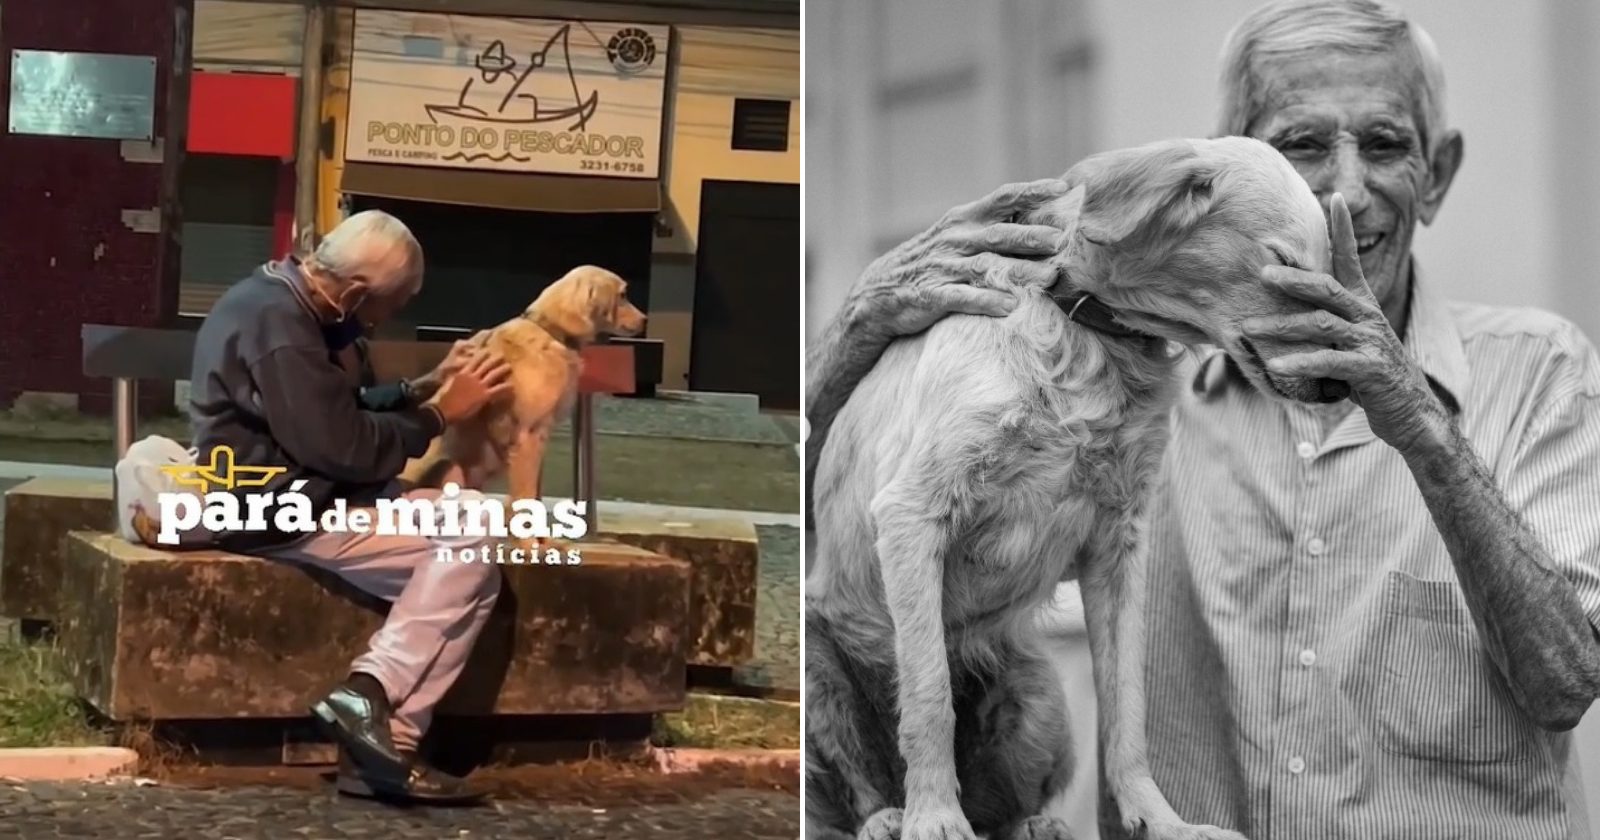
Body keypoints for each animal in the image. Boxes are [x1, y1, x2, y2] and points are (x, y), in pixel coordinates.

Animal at [400, 265, 643, 508]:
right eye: (623, 295)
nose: (645, 319)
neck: (551, 330)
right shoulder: (526, 435)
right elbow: (524, 495)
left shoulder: (540, 435)